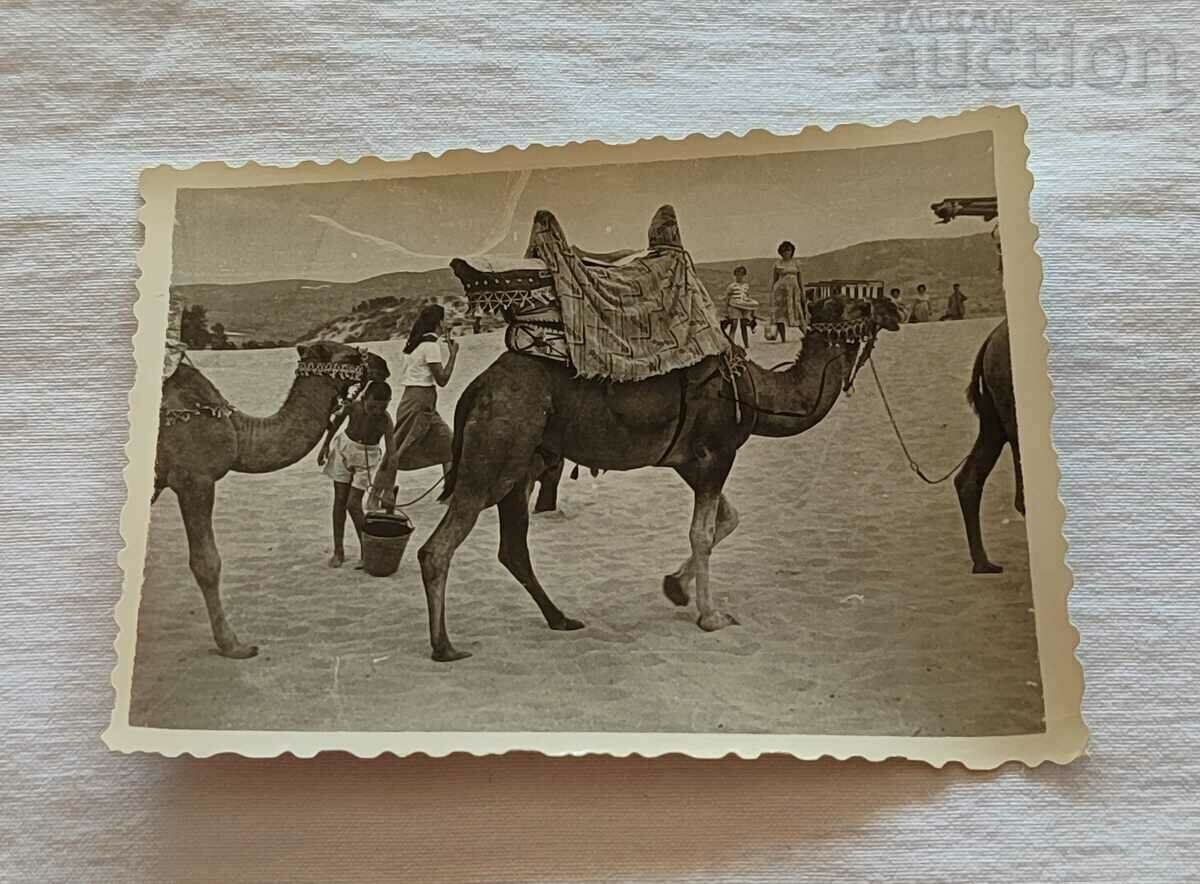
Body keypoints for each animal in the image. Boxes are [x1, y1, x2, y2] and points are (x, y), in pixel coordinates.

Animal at [153, 338, 388, 657]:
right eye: (351, 356)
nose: (383, 365)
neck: (237, 430)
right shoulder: (194, 479)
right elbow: (207, 563)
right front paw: (234, 645)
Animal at [417, 292, 897, 657]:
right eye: (859, 305)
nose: (893, 309)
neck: (757, 393)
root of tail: (477, 387)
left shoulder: (687, 459)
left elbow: (727, 519)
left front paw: (675, 588)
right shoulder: (717, 451)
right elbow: (702, 532)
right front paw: (711, 616)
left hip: (522, 467)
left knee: (513, 549)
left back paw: (562, 619)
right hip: (496, 457)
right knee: (438, 547)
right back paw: (445, 646)